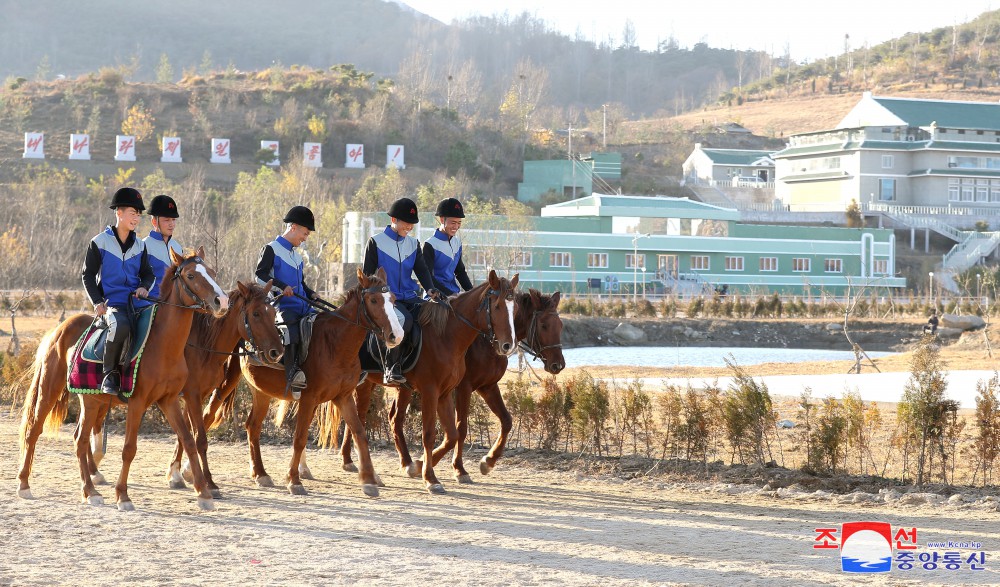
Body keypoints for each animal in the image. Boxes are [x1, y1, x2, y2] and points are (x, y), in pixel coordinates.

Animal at [18, 248, 229, 510]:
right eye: (190, 275)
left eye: (211, 272)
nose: (222, 301)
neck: (163, 344)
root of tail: (58, 330)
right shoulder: (138, 402)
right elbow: (129, 448)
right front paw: (123, 495)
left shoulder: (169, 400)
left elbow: (189, 440)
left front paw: (203, 493)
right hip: (49, 390)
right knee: (34, 430)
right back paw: (25, 484)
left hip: (91, 400)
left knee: (80, 440)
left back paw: (90, 491)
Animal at [205, 268, 404, 498]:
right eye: (373, 300)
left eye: (393, 299)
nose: (397, 335)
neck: (335, 343)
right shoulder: (309, 398)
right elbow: (300, 438)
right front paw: (294, 480)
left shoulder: (343, 397)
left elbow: (359, 433)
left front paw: (369, 480)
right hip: (227, 382)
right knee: (208, 415)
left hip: (261, 391)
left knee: (252, 427)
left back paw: (260, 474)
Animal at [342, 288, 564, 482]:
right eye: (544, 325)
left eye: (559, 324)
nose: (558, 365)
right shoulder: (463, 388)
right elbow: (461, 428)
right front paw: (456, 468)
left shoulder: (488, 386)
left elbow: (506, 421)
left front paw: (488, 461)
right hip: (365, 383)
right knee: (362, 416)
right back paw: (351, 459)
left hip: (394, 387)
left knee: (390, 418)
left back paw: (400, 462)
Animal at [350, 272, 520, 496]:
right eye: (498, 306)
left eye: (515, 308)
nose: (508, 345)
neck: (447, 335)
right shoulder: (434, 391)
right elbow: (431, 434)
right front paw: (432, 477)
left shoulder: (449, 392)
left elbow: (454, 434)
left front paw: (421, 465)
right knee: (358, 421)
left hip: (379, 385)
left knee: (386, 420)